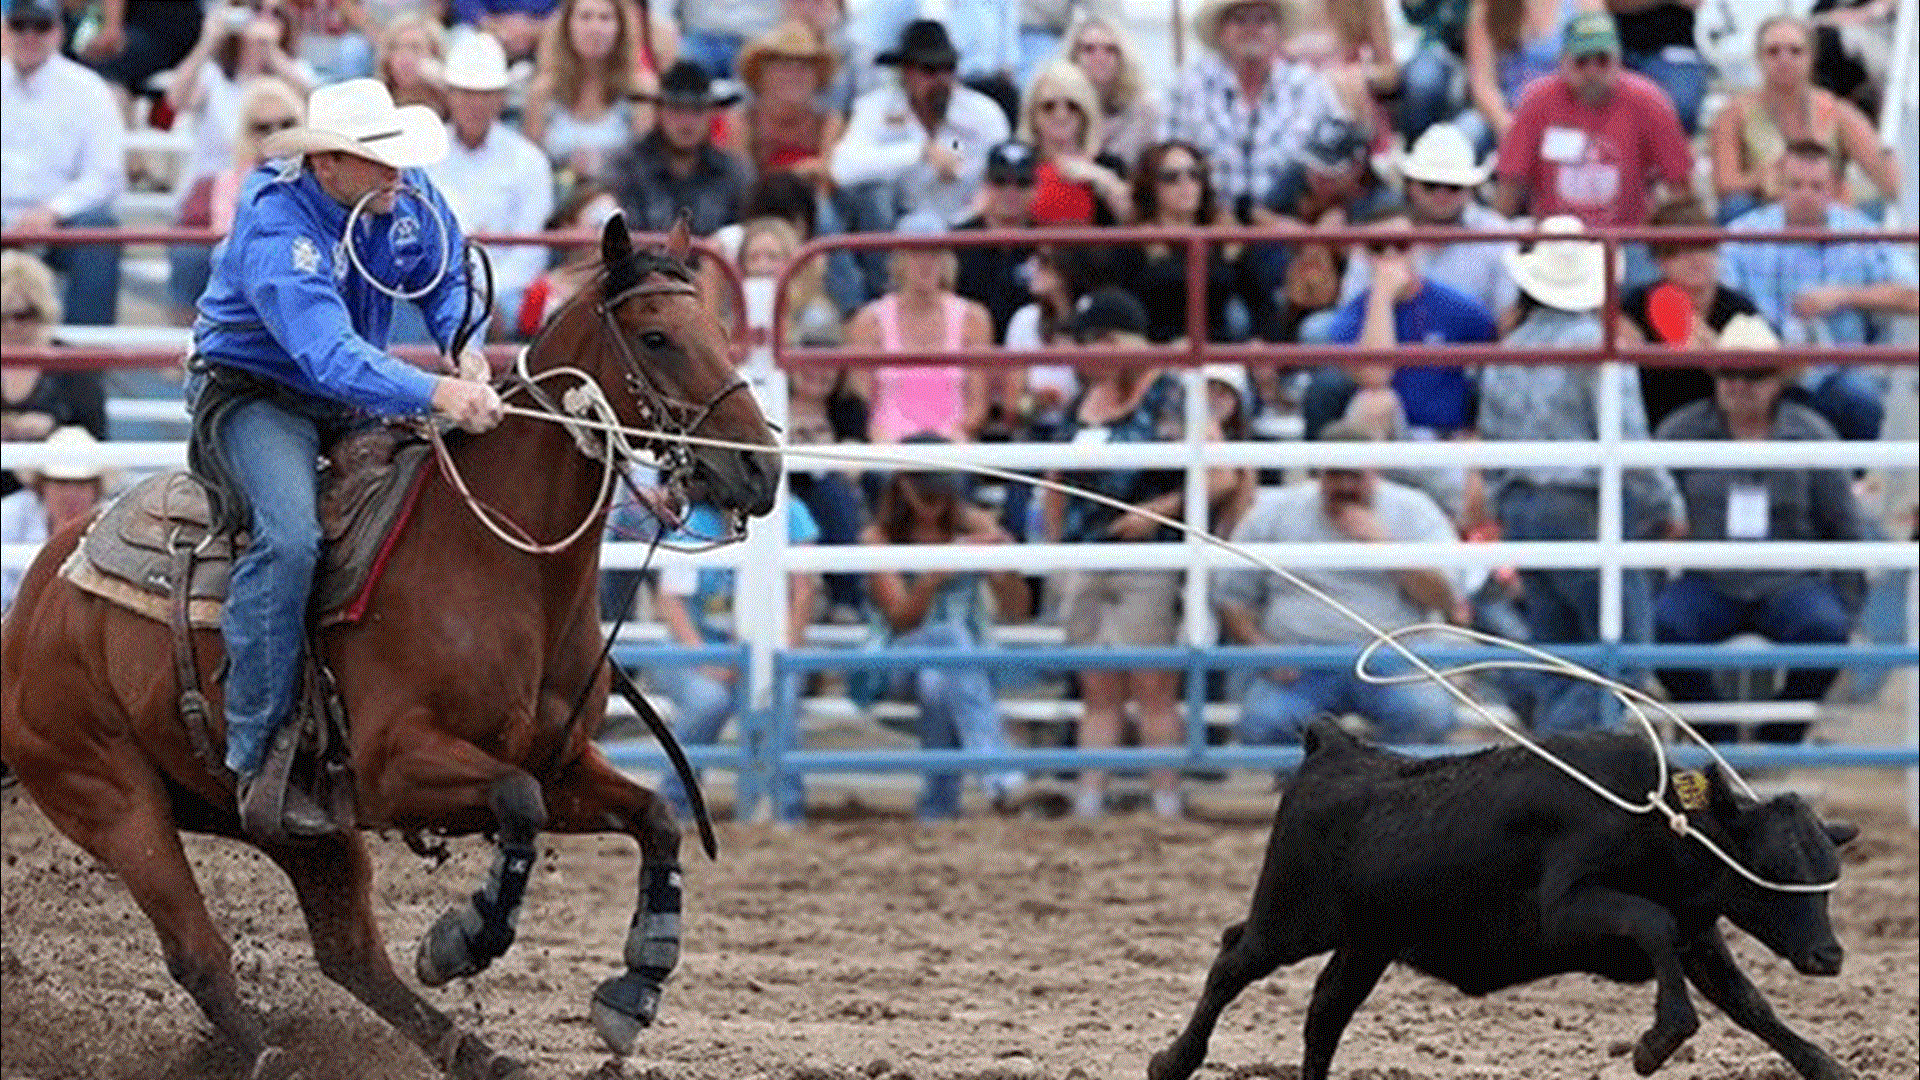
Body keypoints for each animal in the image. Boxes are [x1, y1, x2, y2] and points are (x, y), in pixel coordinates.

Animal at [0, 215, 780, 1080]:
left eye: (720, 330)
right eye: (656, 336)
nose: (759, 470)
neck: (503, 561)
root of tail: (32, 604)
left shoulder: (563, 761)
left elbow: (655, 817)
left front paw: (634, 988)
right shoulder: (396, 766)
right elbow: (518, 802)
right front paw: (459, 941)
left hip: (285, 825)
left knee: (350, 955)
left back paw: (478, 1055)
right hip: (110, 798)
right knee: (199, 953)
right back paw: (273, 1056)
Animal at [1149, 718, 1859, 1080]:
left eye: (1830, 872)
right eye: (1771, 865)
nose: (1830, 956)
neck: (1660, 819)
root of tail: (1335, 749)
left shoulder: (1699, 935)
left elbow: (1750, 1005)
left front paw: (1825, 1065)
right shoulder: (1568, 911)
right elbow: (1650, 926)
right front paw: (1658, 1042)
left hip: (1364, 943)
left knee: (1324, 1013)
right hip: (1288, 920)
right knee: (1230, 964)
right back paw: (1173, 1060)